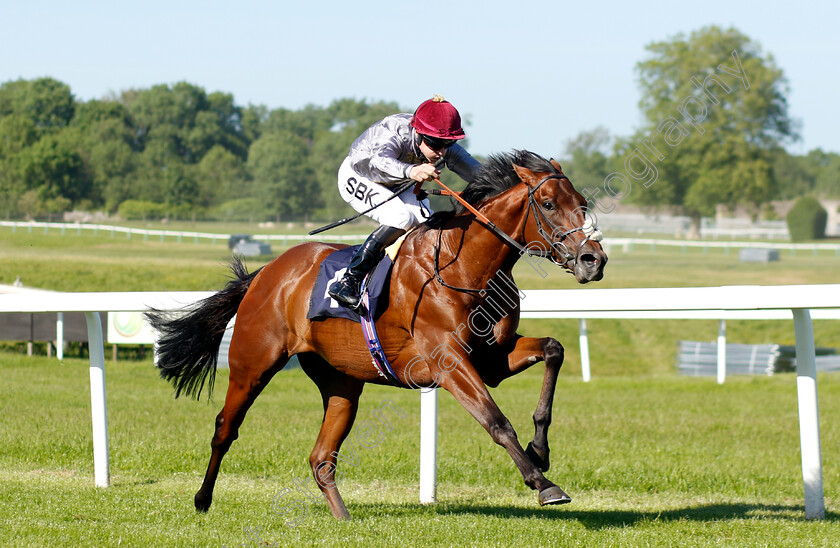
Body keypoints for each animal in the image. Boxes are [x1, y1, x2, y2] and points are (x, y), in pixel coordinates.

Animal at [144, 149, 604, 520]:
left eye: (581, 204)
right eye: (547, 203)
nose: (593, 260)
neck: (465, 267)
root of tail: (266, 273)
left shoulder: (492, 358)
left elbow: (554, 350)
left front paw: (540, 449)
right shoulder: (448, 362)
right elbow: (496, 421)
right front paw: (543, 484)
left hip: (341, 383)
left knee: (321, 457)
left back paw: (343, 517)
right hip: (252, 364)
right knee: (226, 428)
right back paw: (202, 499)